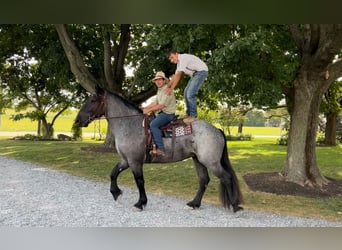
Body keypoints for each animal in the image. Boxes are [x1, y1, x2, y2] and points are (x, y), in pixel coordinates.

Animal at [75, 89, 243, 212]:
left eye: (93, 100)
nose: (77, 120)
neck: (130, 124)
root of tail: (216, 130)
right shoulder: (126, 160)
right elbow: (113, 173)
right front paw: (116, 192)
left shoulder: (135, 161)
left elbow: (139, 181)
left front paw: (140, 203)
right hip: (198, 160)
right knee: (204, 181)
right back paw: (194, 203)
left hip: (211, 162)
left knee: (226, 178)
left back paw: (234, 205)